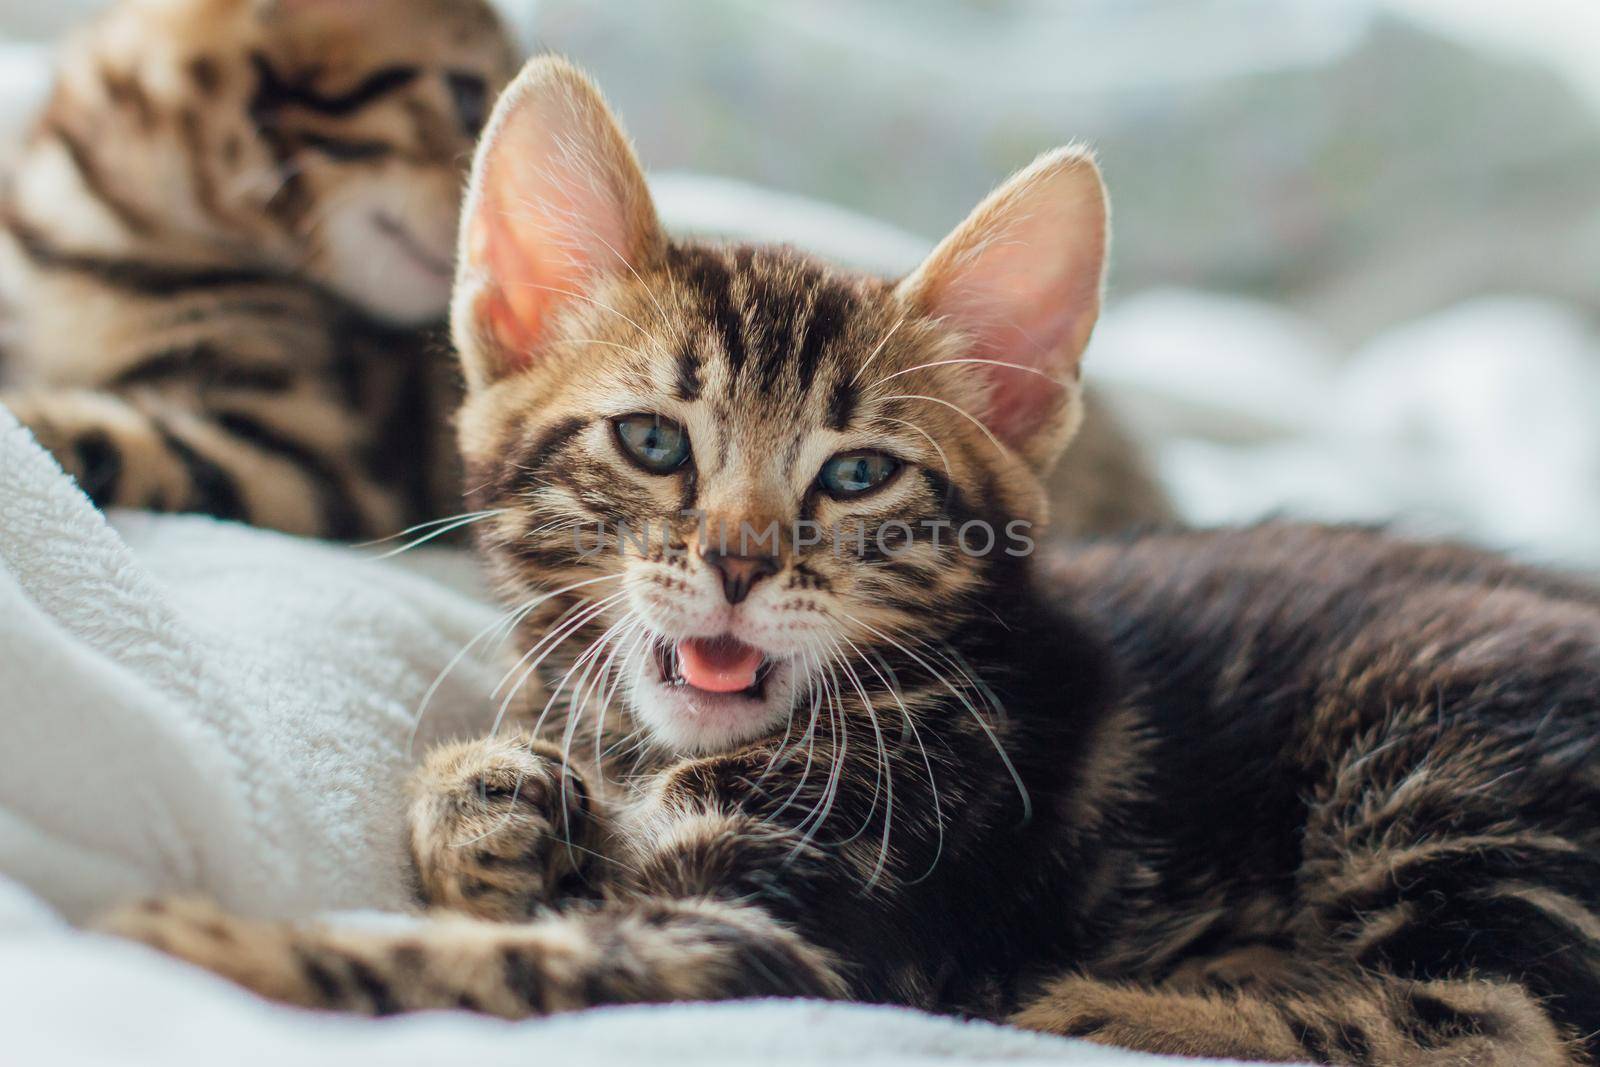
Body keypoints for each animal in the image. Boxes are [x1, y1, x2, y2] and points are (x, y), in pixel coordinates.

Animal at [106, 60, 1593, 1067]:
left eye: (859, 474)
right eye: (653, 441)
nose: (738, 562)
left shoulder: (803, 933)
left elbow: (515, 967)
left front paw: (211, 946)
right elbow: (499, 803)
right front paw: (490, 804)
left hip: (1443, 748)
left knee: (1492, 1022)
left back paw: (1116, 1006)